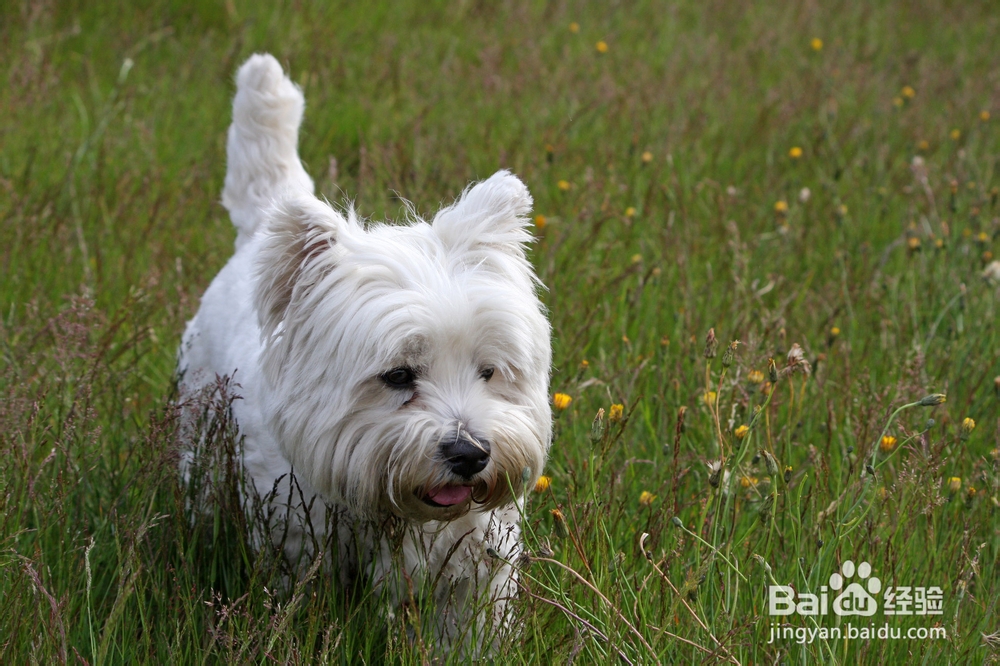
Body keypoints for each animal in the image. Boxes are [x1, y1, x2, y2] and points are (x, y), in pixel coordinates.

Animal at [178, 54, 556, 644]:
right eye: (398, 375)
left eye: (489, 371)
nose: (470, 454)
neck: (398, 512)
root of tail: (260, 231)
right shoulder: (298, 551)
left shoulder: (476, 569)